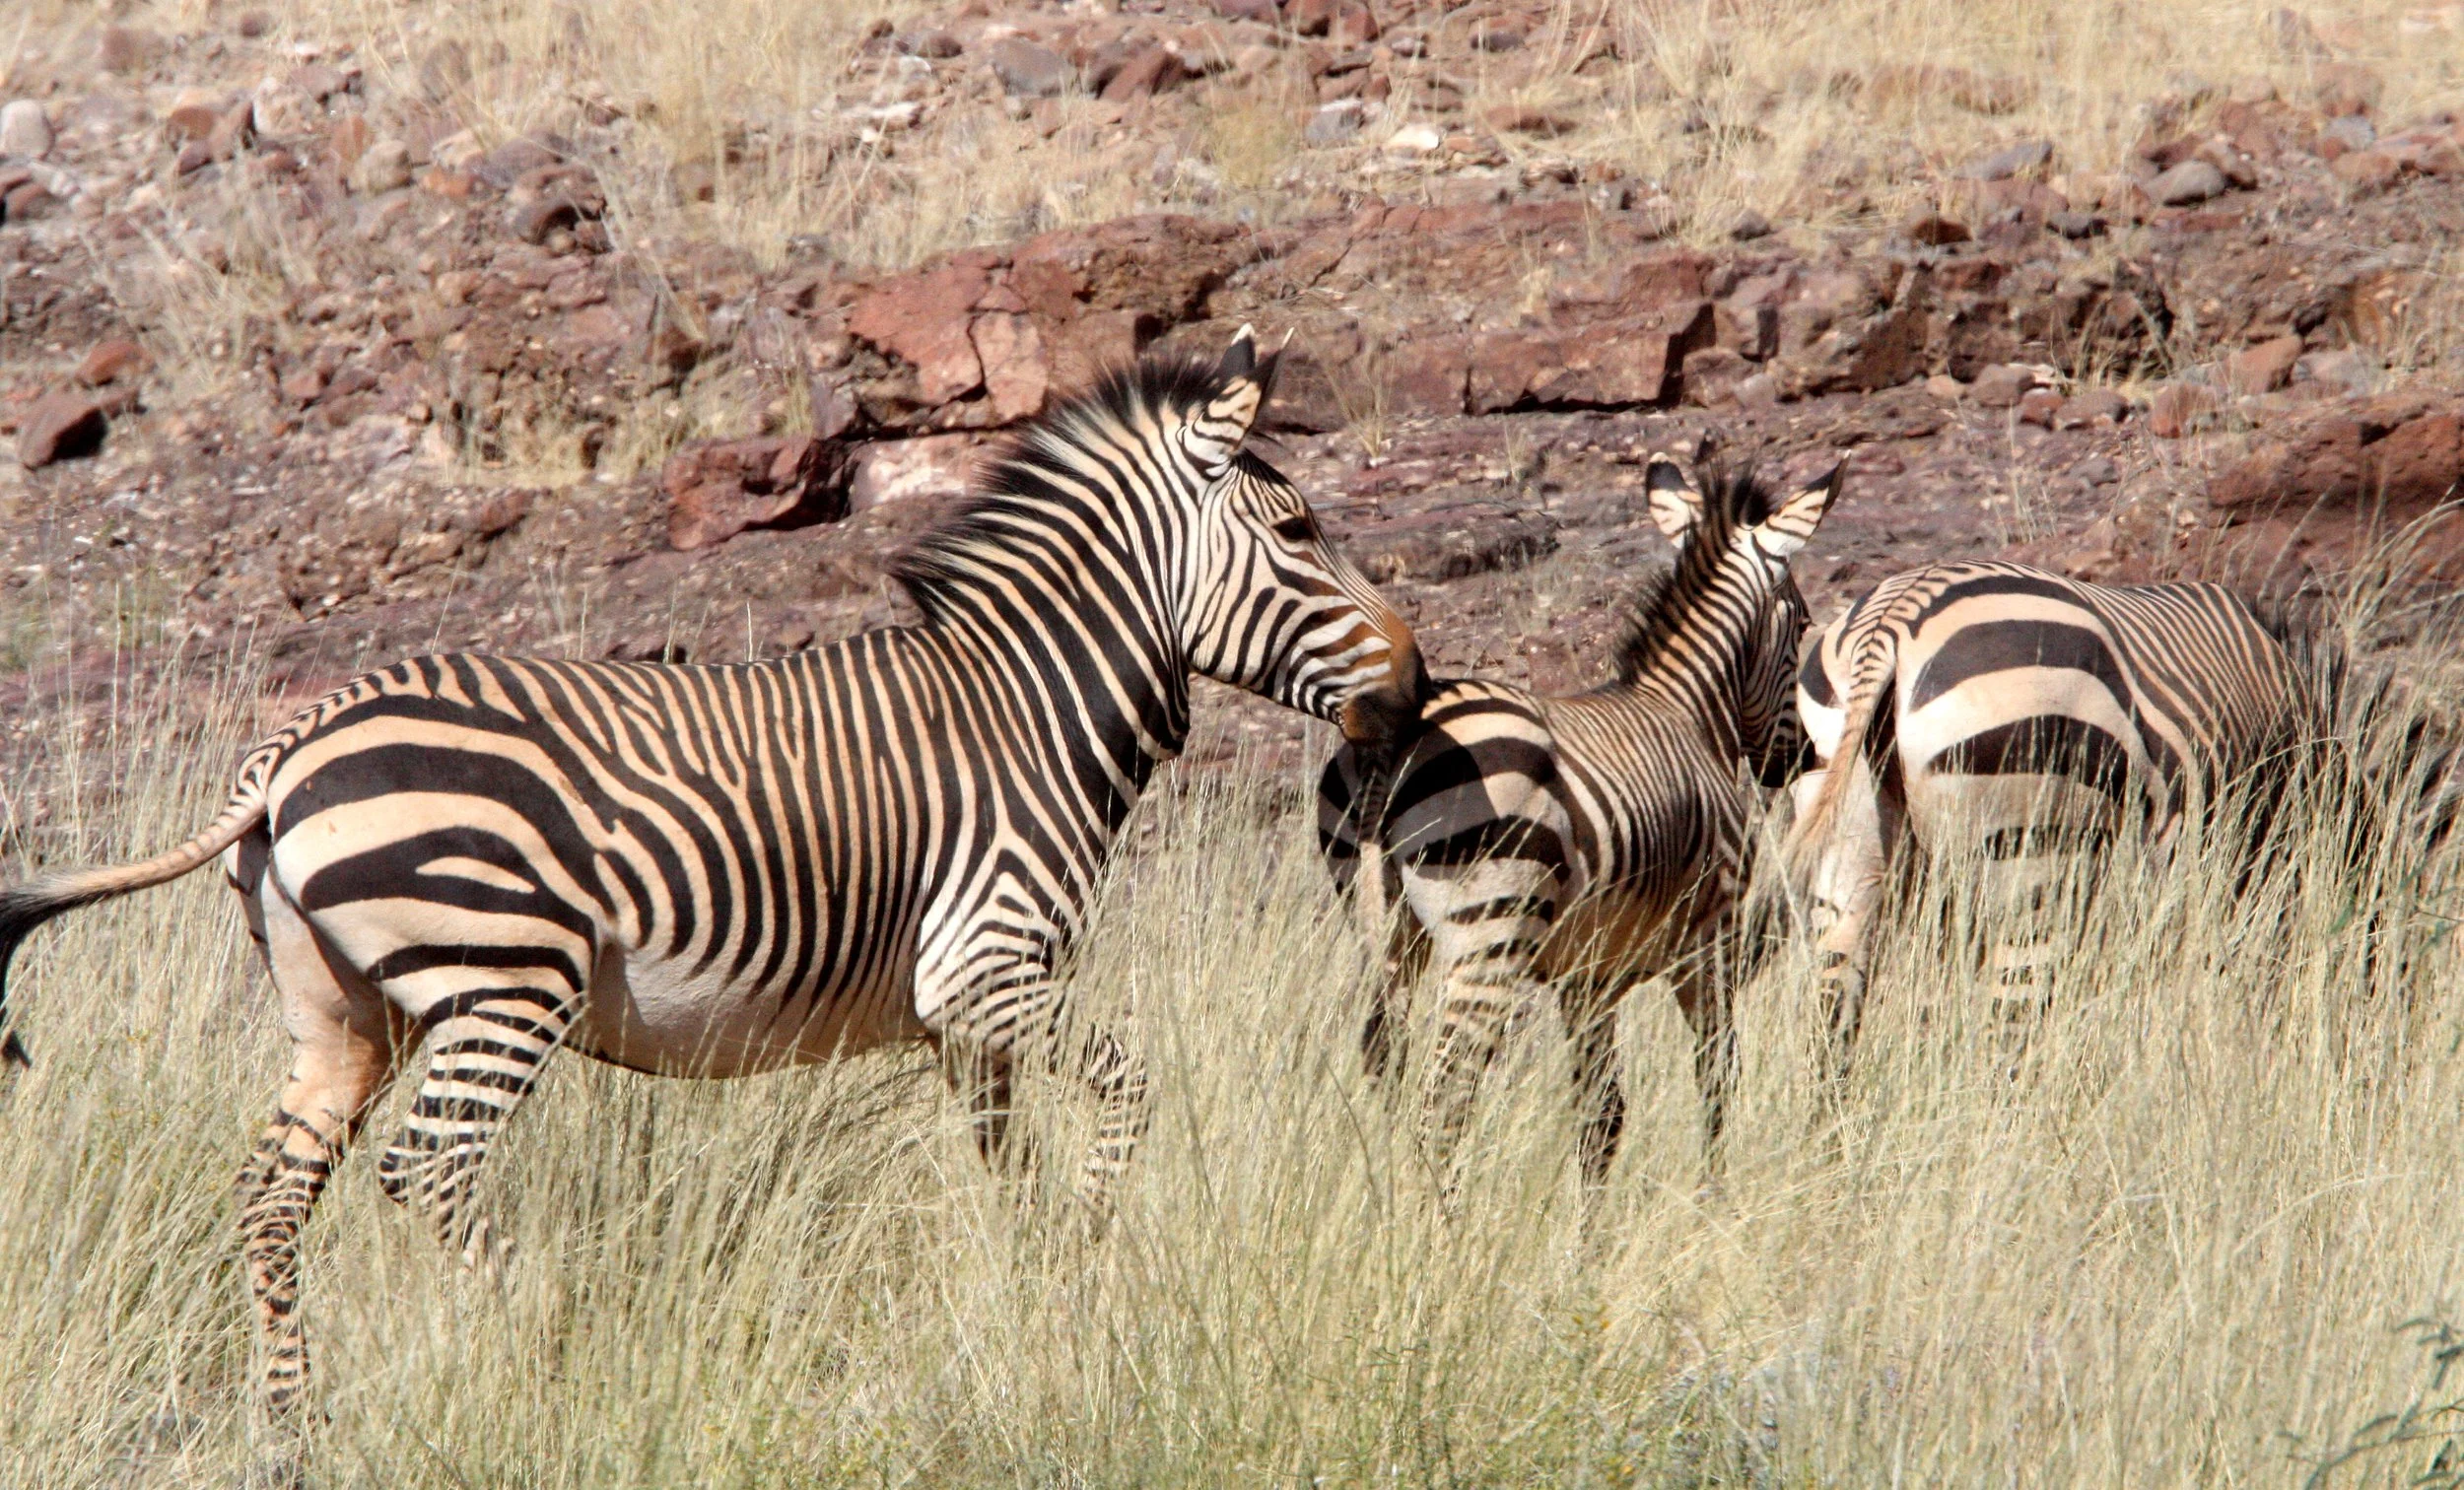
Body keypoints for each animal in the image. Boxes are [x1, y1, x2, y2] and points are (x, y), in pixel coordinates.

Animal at [0, 329, 1426, 1412]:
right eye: (1299, 532)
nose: (1415, 686)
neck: (1026, 707)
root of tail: (287, 749)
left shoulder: (966, 1019)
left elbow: (1000, 1159)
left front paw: (1023, 1284)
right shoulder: (984, 968)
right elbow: (1131, 1088)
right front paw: (1082, 1254)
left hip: (346, 1011)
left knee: (273, 1191)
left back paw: (296, 1418)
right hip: (505, 977)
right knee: (431, 1171)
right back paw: (552, 1349)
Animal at [1317, 454, 1841, 1192]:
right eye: (1800, 626)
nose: (1802, 758)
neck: (1688, 710)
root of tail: (1396, 737)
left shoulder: (1588, 977)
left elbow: (1602, 1118)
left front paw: (1589, 1223)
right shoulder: (1709, 942)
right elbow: (1716, 1081)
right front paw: (1713, 1196)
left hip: (1384, 939)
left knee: (1384, 1076)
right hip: (1486, 941)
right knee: (1443, 1105)